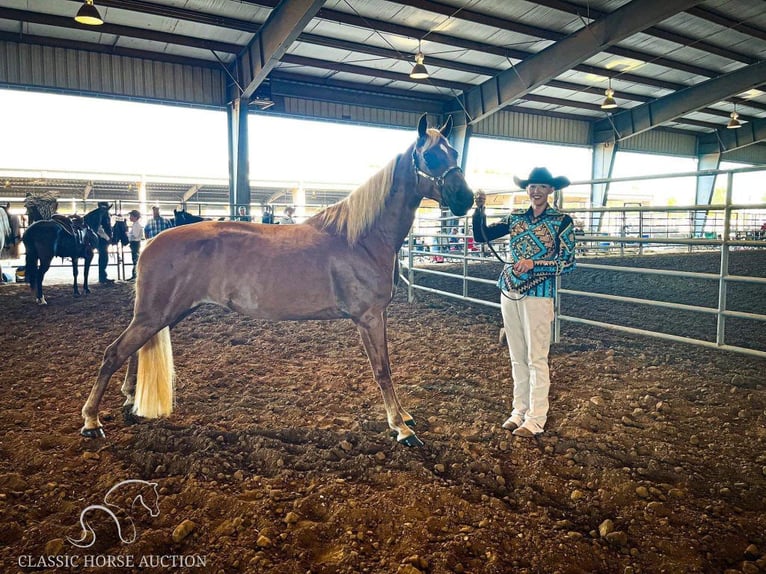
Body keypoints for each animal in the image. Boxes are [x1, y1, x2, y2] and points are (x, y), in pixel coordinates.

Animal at [79, 116, 474, 450]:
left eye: (454, 152)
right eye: (429, 156)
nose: (465, 199)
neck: (359, 237)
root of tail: (150, 243)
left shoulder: (379, 316)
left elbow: (386, 367)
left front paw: (403, 416)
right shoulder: (368, 318)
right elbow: (382, 371)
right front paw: (401, 427)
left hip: (165, 316)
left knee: (132, 352)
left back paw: (130, 402)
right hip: (154, 315)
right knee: (113, 353)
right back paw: (91, 421)